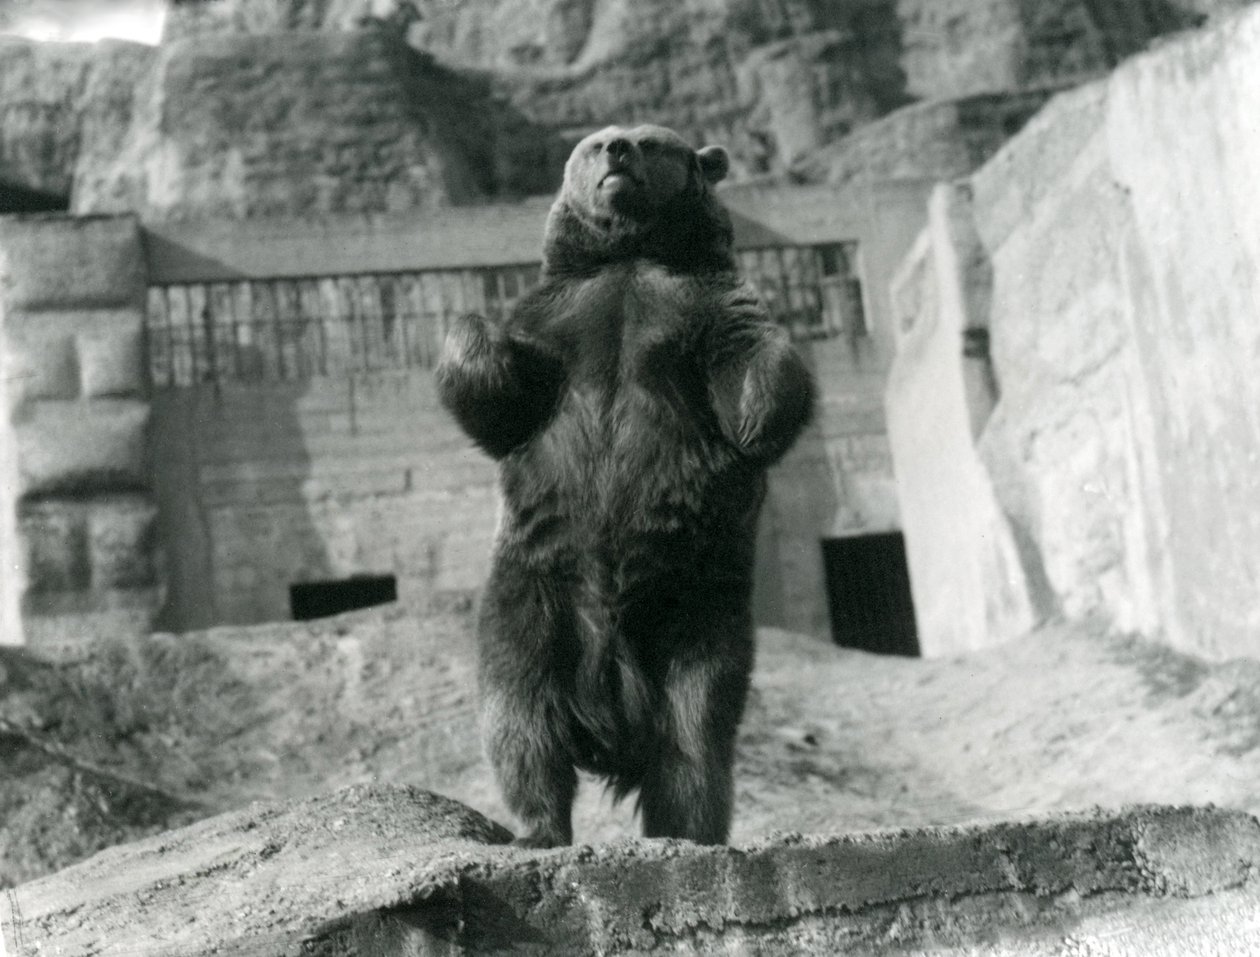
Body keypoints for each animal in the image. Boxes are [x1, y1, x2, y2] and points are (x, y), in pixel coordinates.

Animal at [441, 125, 816, 846]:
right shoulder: (554, 323)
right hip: (533, 590)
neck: (631, 256)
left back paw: (687, 830)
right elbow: (500, 399)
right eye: (591, 145)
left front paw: (767, 402)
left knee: (694, 733)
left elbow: (752, 363)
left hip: (696, 604)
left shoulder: (699, 308)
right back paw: (536, 825)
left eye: (650, 140)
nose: (615, 147)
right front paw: (466, 328)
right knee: (519, 712)